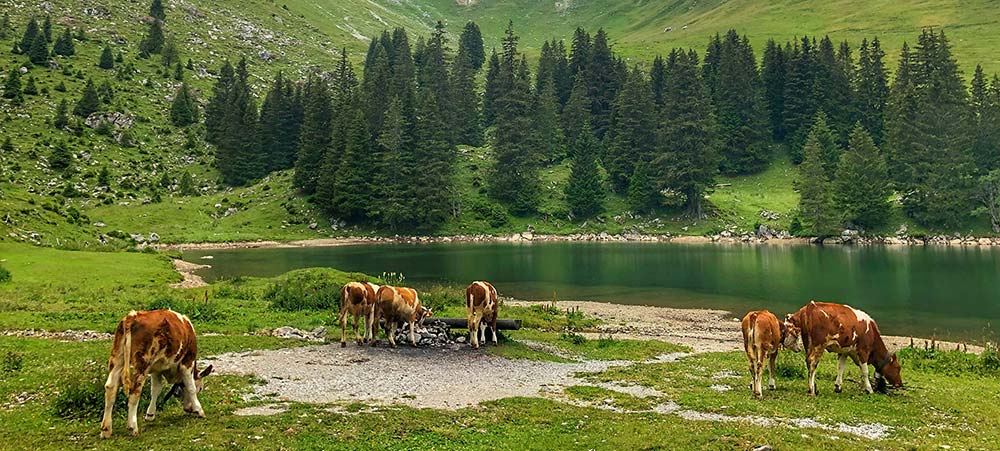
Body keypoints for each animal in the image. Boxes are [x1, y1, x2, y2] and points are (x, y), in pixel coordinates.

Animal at [100, 310, 213, 438]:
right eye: (201, 388)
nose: (189, 409)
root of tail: (132, 316)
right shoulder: (187, 362)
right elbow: (191, 388)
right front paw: (199, 410)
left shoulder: (156, 369)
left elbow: (155, 390)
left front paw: (150, 414)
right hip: (143, 363)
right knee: (134, 391)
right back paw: (132, 427)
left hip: (118, 358)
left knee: (110, 387)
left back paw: (106, 429)